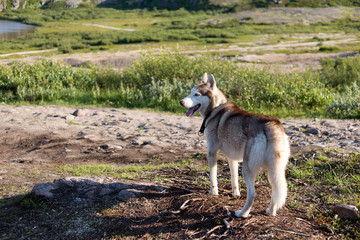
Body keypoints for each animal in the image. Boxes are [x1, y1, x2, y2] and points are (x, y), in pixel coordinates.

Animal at [180, 73, 290, 218]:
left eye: (196, 94)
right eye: (190, 92)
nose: (181, 102)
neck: (215, 108)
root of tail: (271, 123)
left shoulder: (212, 151)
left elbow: (213, 177)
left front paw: (213, 193)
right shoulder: (232, 158)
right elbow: (234, 179)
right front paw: (235, 194)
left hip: (248, 168)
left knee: (252, 194)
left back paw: (242, 213)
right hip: (275, 170)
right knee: (276, 190)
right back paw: (271, 211)